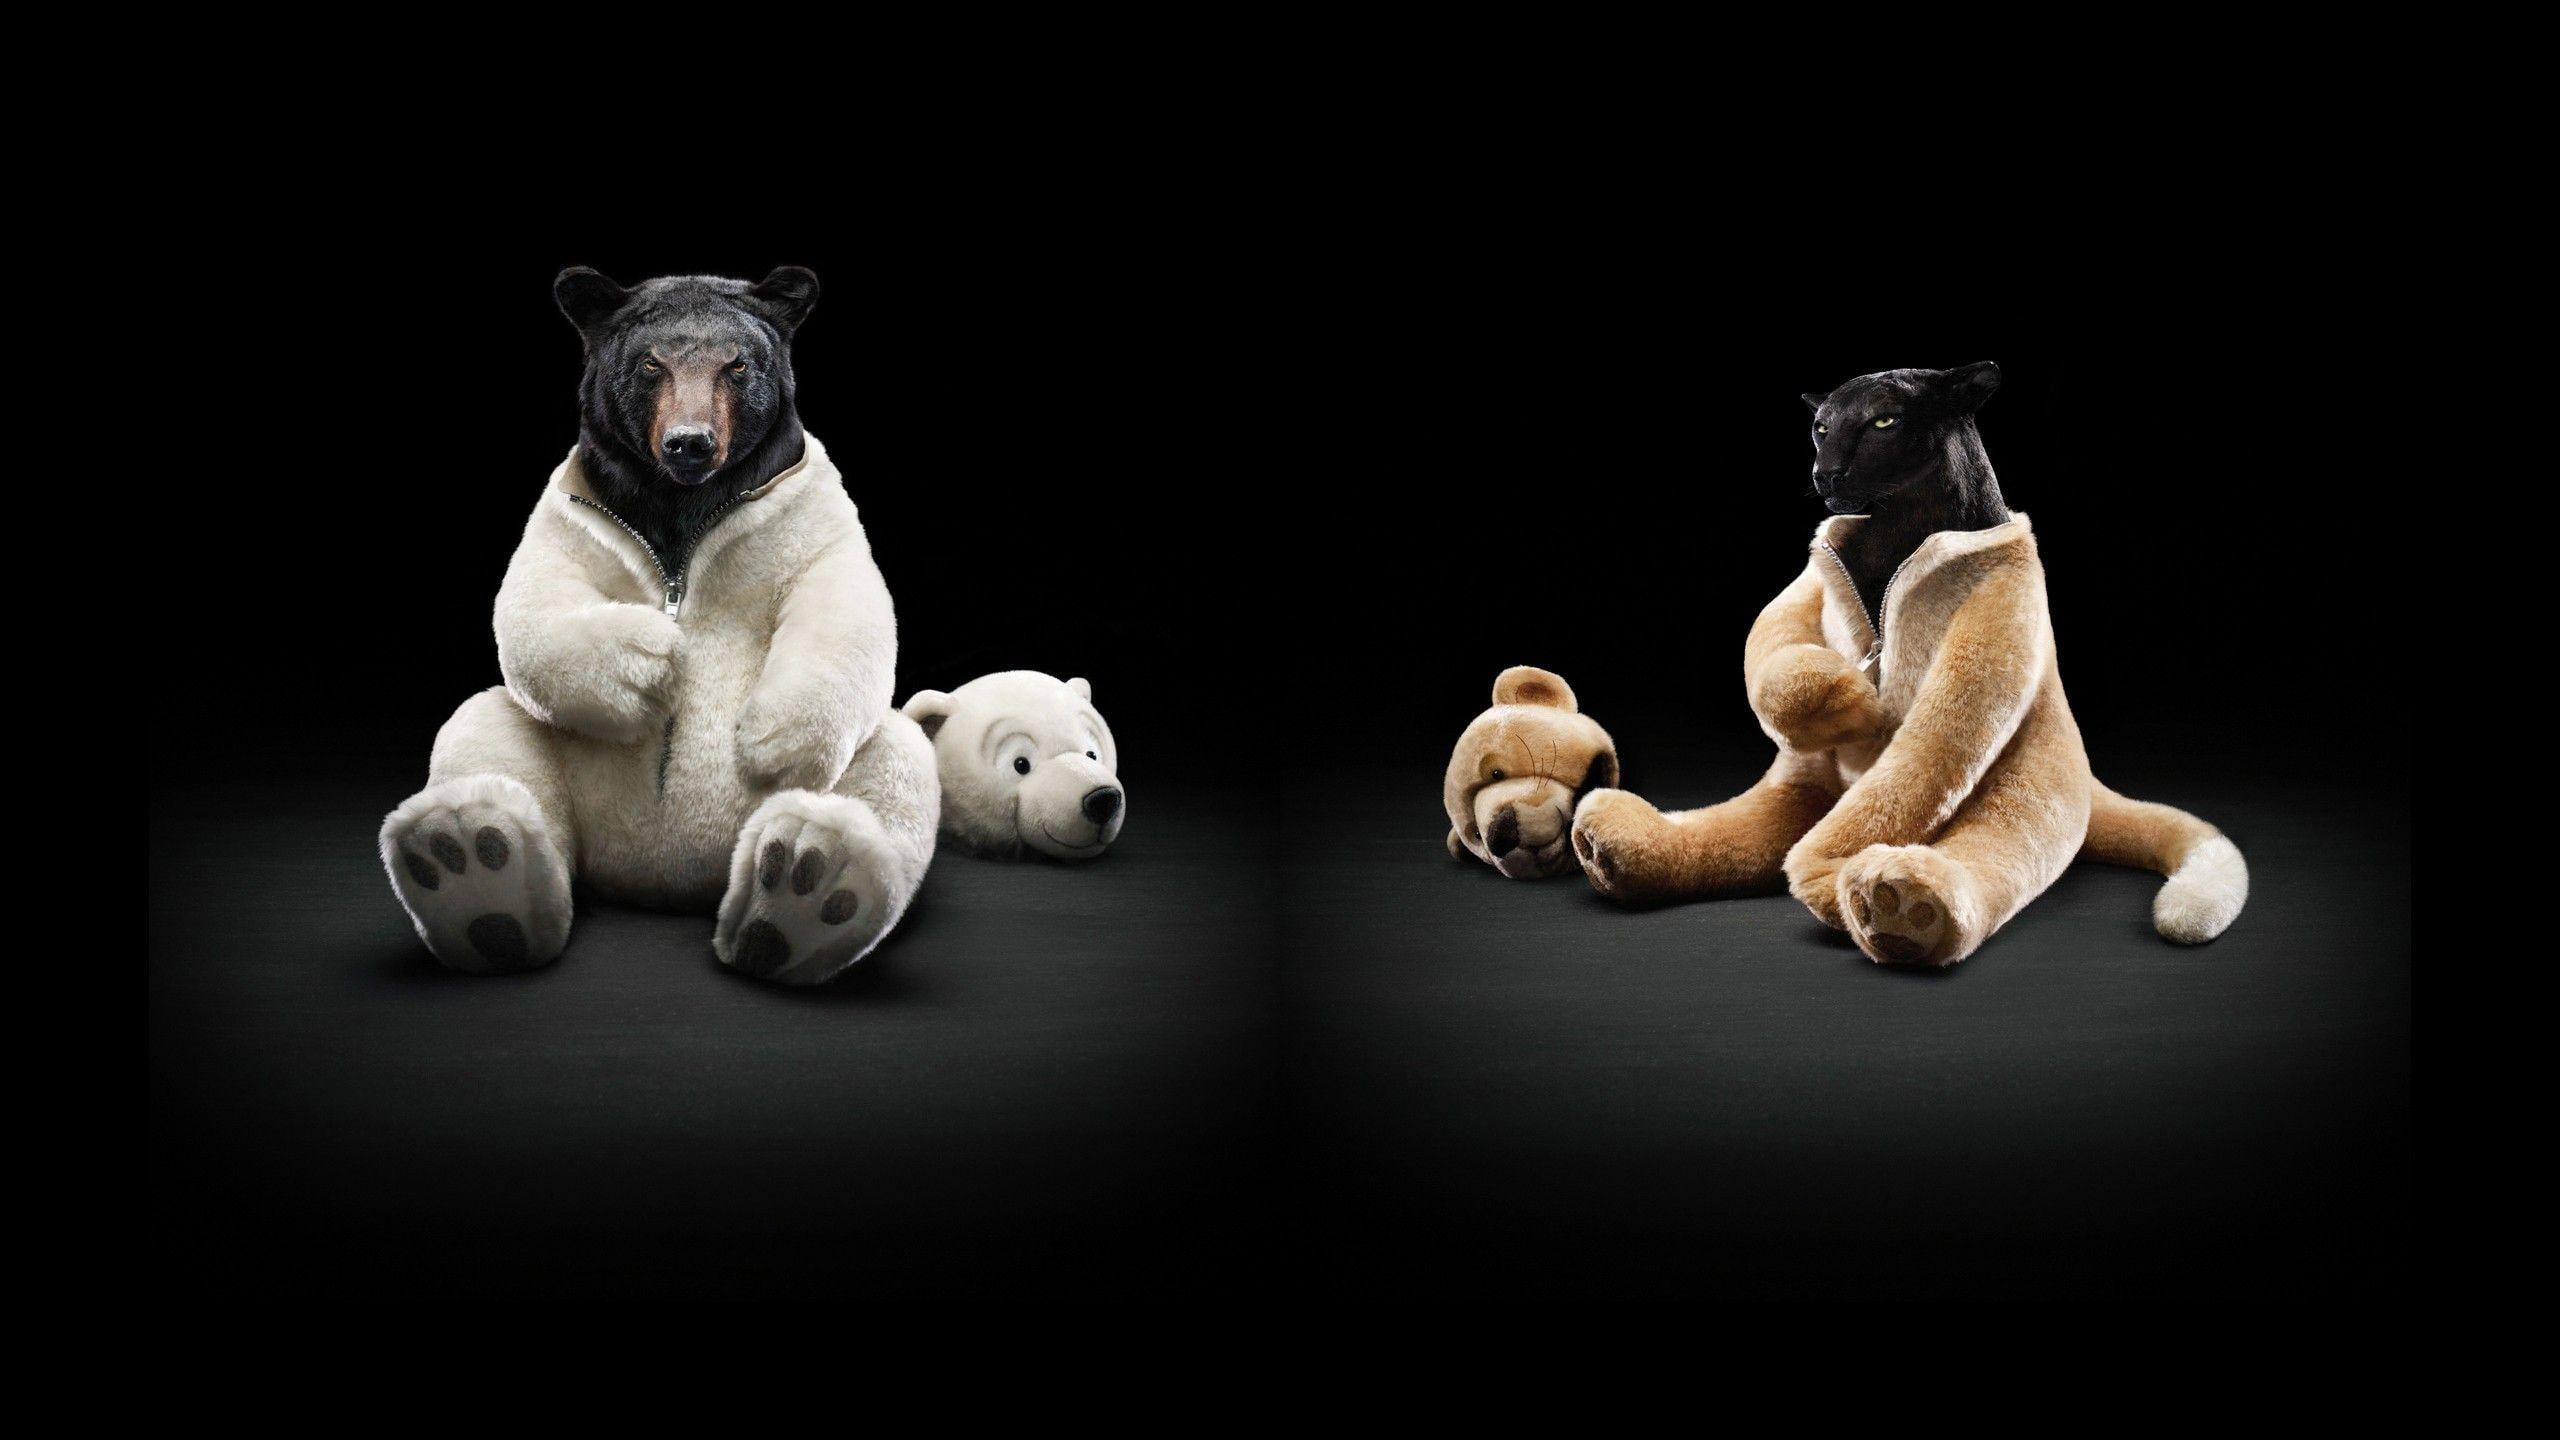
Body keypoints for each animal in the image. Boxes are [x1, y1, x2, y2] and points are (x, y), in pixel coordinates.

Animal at [377, 266, 939, 986]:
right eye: (651, 364)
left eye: (737, 365)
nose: (690, 442)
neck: (681, 503)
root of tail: (663, 880)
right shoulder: (573, 513)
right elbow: (535, 600)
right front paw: (651, 662)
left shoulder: (807, 510)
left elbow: (842, 596)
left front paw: (772, 738)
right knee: (488, 731)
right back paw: (472, 869)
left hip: (856, 768)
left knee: (891, 761)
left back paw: (805, 889)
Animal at [1569, 362, 2246, 965]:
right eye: (1820, 426)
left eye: (1884, 421)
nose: (1826, 472)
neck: (1894, 528)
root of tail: (2087, 778)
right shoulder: (1807, 582)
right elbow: (1770, 642)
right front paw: (1843, 702)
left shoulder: (1998, 620)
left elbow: (1930, 747)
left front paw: (1826, 876)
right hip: (1798, 783)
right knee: (1726, 835)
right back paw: (1612, 839)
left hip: (2023, 795)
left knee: (1974, 846)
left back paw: (1899, 905)